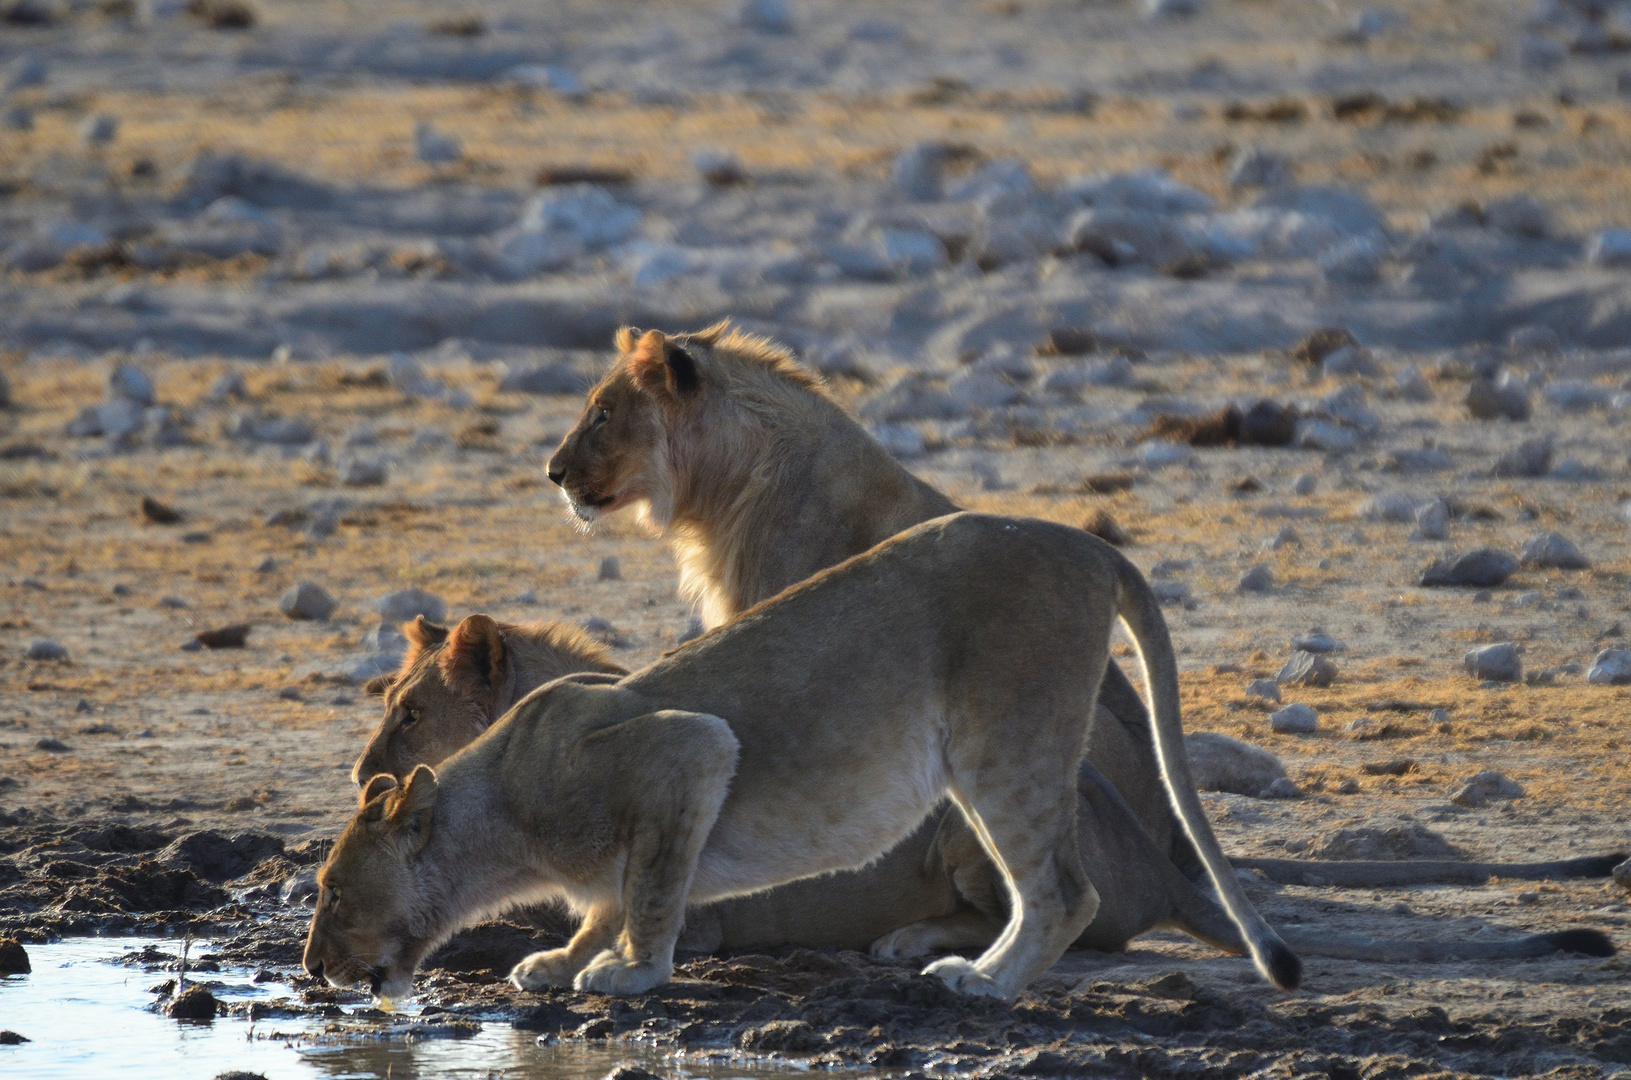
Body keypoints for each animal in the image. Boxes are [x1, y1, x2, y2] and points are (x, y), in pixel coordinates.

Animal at [306, 515, 1298, 1004]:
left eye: (334, 894)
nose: (312, 969)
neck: (502, 818)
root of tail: (1092, 545)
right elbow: (604, 901)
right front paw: (561, 960)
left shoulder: (690, 752)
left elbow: (652, 892)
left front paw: (631, 972)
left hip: (1003, 746)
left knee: (1061, 891)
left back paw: (981, 984)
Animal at [353, 616, 1617, 972]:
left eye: (407, 711)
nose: (362, 777)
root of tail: (1161, 860)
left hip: (960, 804)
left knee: (1052, 915)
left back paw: (917, 947)